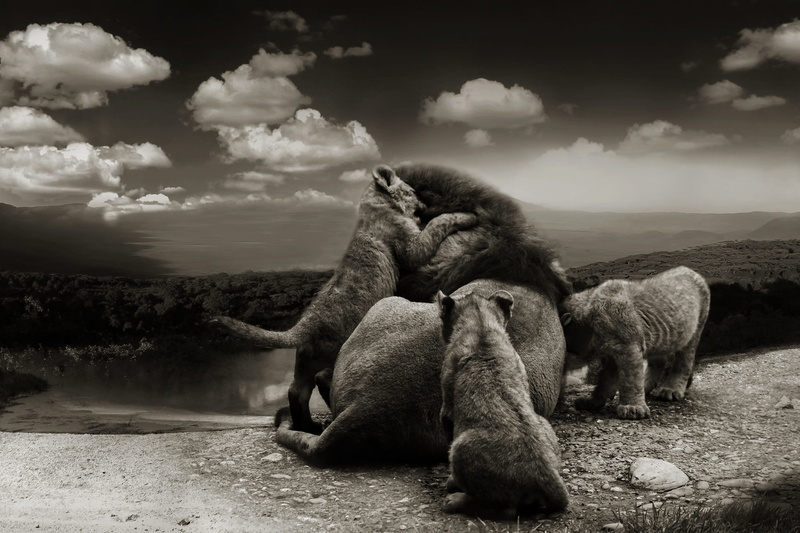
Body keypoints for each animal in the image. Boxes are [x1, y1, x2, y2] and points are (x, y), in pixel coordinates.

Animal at [212, 164, 477, 433]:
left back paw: (309, 427)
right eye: (411, 191)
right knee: (323, 379)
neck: (376, 205)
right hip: (336, 349)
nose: (424, 204)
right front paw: (467, 215)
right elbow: (437, 224)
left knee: (296, 390)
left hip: (304, 360)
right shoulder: (412, 246)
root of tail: (306, 323)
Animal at [437, 290, 569, 518]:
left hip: (461, 447)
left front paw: (451, 482)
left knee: (503, 509)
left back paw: (455, 500)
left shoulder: (446, 409)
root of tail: (546, 474)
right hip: (545, 424)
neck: (481, 324)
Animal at [559, 266, 710, 419]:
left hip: (694, 331)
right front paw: (593, 401)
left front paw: (633, 408)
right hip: (660, 339)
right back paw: (648, 386)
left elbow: (630, 379)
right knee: (659, 361)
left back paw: (671, 389)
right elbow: (605, 380)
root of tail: (689, 270)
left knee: (684, 360)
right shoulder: (614, 352)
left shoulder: (627, 347)